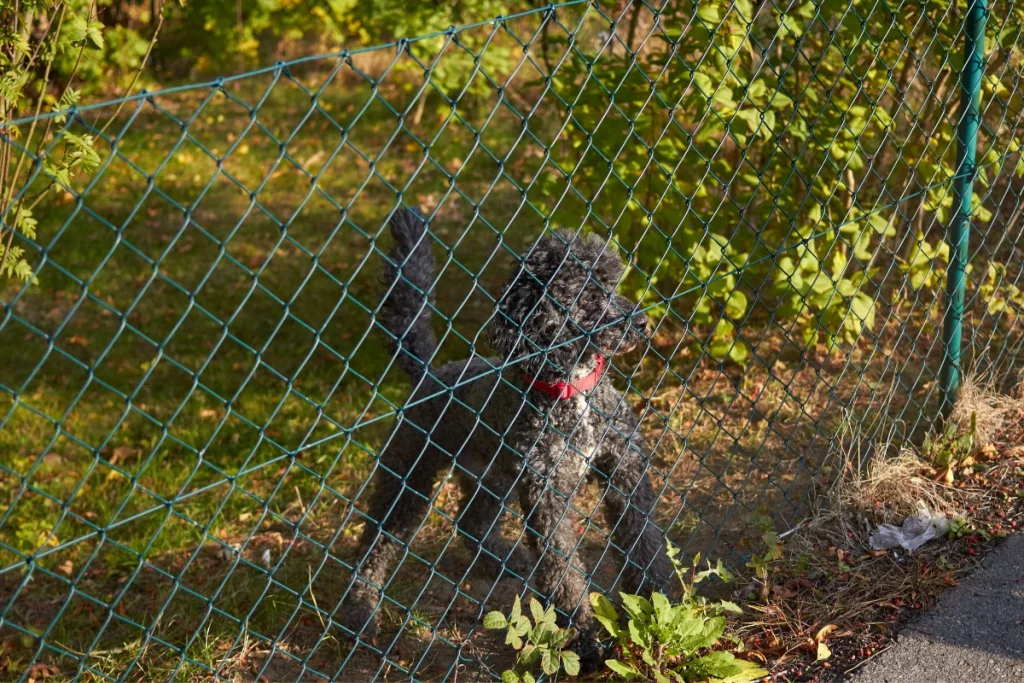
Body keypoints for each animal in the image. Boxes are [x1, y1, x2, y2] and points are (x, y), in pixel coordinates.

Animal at [344, 208, 675, 667]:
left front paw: (659, 609)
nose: (643, 322)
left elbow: (644, 547)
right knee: (375, 545)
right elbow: (563, 576)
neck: (572, 393)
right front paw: (586, 643)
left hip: (492, 477)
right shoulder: (547, 498)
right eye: (585, 294)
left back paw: (508, 562)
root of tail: (430, 373)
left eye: (612, 283)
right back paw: (360, 613)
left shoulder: (624, 472)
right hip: (408, 477)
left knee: (471, 524)